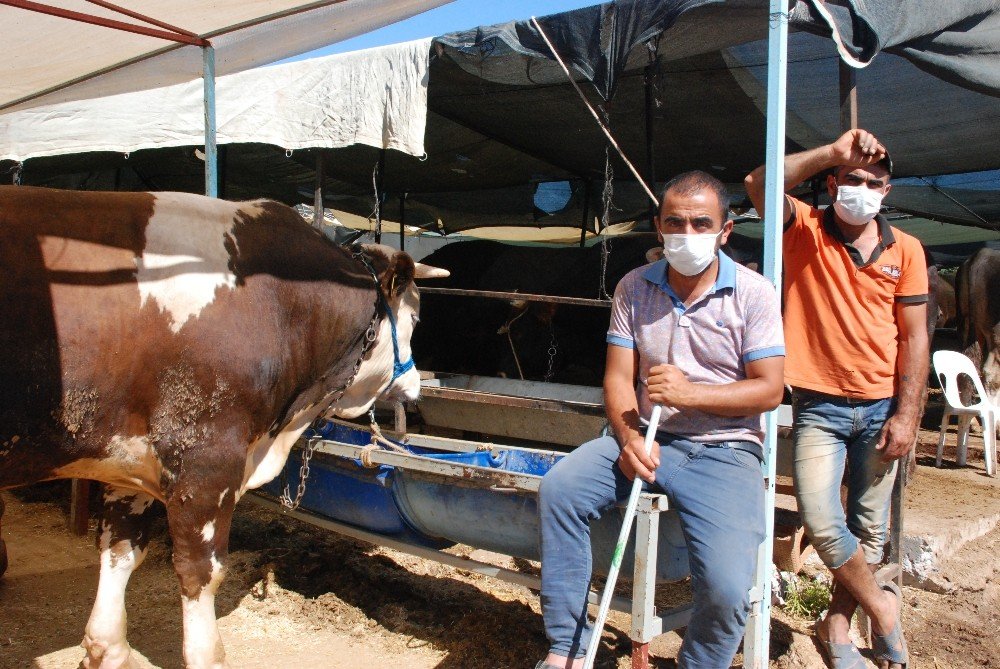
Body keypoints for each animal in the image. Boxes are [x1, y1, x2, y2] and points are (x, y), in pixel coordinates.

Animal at [0, 184, 446, 668]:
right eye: (416, 319)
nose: (416, 385)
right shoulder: (207, 459)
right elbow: (202, 571)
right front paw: (206, 654)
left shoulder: (130, 456)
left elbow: (120, 549)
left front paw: (108, 648)